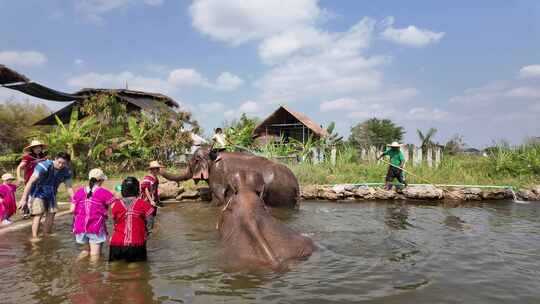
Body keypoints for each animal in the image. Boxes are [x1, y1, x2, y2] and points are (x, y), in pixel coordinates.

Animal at [162, 148, 300, 209]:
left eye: (190, 164)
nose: (159, 167)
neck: (212, 155)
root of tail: (296, 184)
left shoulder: (217, 175)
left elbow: (218, 198)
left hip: (279, 193)